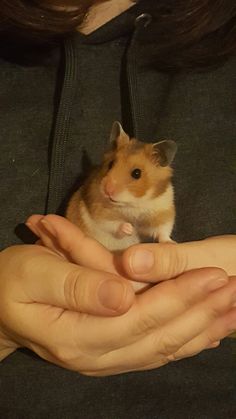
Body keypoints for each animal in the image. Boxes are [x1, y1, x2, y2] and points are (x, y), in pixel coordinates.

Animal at [66, 121, 177, 253]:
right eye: (110, 164)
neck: (133, 203)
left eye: (137, 173)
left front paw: (171, 243)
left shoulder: (163, 211)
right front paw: (130, 229)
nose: (107, 190)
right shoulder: (100, 212)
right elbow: (114, 223)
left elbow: (163, 231)